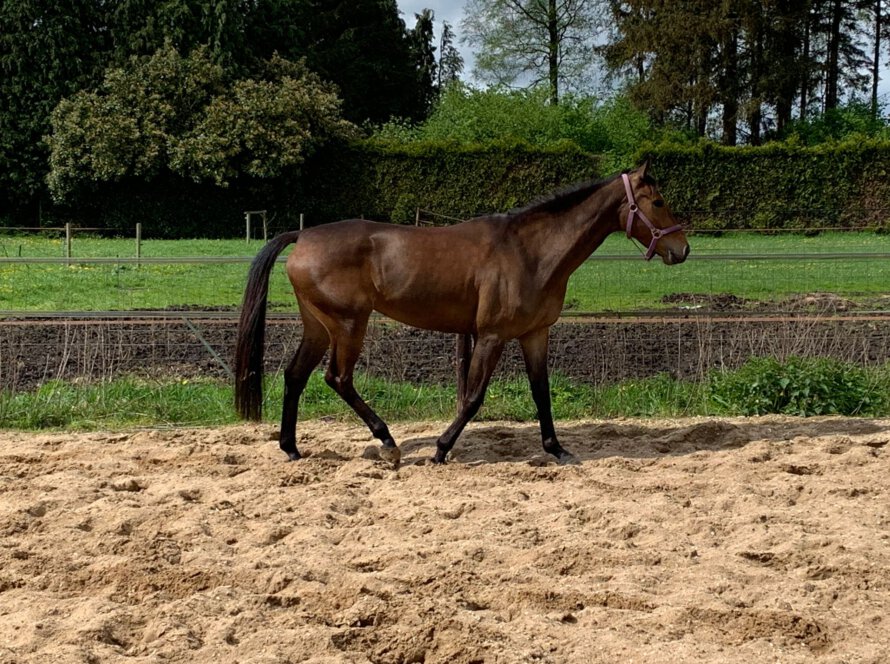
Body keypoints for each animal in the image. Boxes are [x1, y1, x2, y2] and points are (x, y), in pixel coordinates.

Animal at [234, 162, 689, 466]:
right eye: (658, 201)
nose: (682, 249)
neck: (530, 252)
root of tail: (303, 235)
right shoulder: (490, 336)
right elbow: (472, 398)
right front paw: (440, 450)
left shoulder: (535, 334)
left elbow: (541, 393)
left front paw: (557, 449)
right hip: (349, 325)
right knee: (337, 379)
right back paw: (388, 444)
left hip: (319, 326)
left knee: (295, 376)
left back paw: (292, 448)